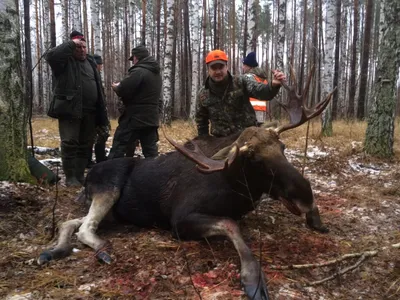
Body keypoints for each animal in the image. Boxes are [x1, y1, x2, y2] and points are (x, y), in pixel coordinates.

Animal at [39, 72, 334, 300]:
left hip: (112, 211)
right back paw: (103, 251)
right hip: (108, 188)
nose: (305, 196)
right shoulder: (179, 219)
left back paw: (52, 251)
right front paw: (253, 280)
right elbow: (230, 224)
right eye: (254, 159)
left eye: (282, 148)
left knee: (70, 221)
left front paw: (316, 219)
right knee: (85, 227)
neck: (235, 189)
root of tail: (88, 177)